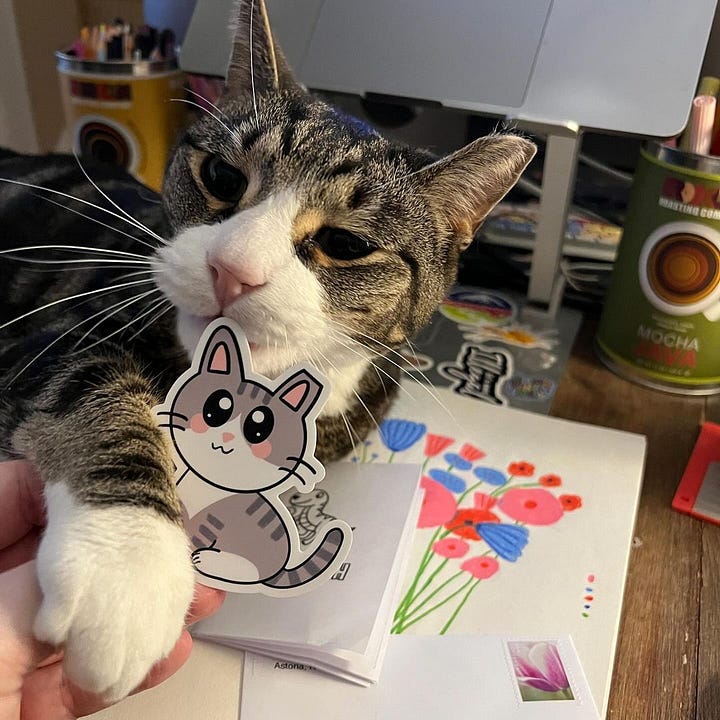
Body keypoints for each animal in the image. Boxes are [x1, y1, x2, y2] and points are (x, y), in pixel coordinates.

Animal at [0, 0, 528, 700]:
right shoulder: (45, 332)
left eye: (345, 244)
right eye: (223, 177)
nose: (232, 269)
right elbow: (89, 381)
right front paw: (127, 568)